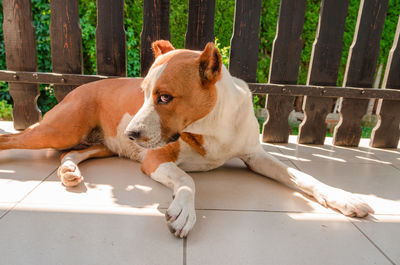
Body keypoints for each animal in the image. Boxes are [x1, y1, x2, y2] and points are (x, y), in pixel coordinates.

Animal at [0, 40, 376, 237]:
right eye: (143, 93)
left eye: (165, 97)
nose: (131, 133)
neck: (210, 124)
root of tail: (81, 86)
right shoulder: (156, 159)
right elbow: (187, 181)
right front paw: (184, 210)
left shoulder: (256, 157)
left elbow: (305, 177)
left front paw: (343, 198)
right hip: (59, 129)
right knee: (13, 140)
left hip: (100, 146)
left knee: (71, 154)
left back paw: (69, 171)